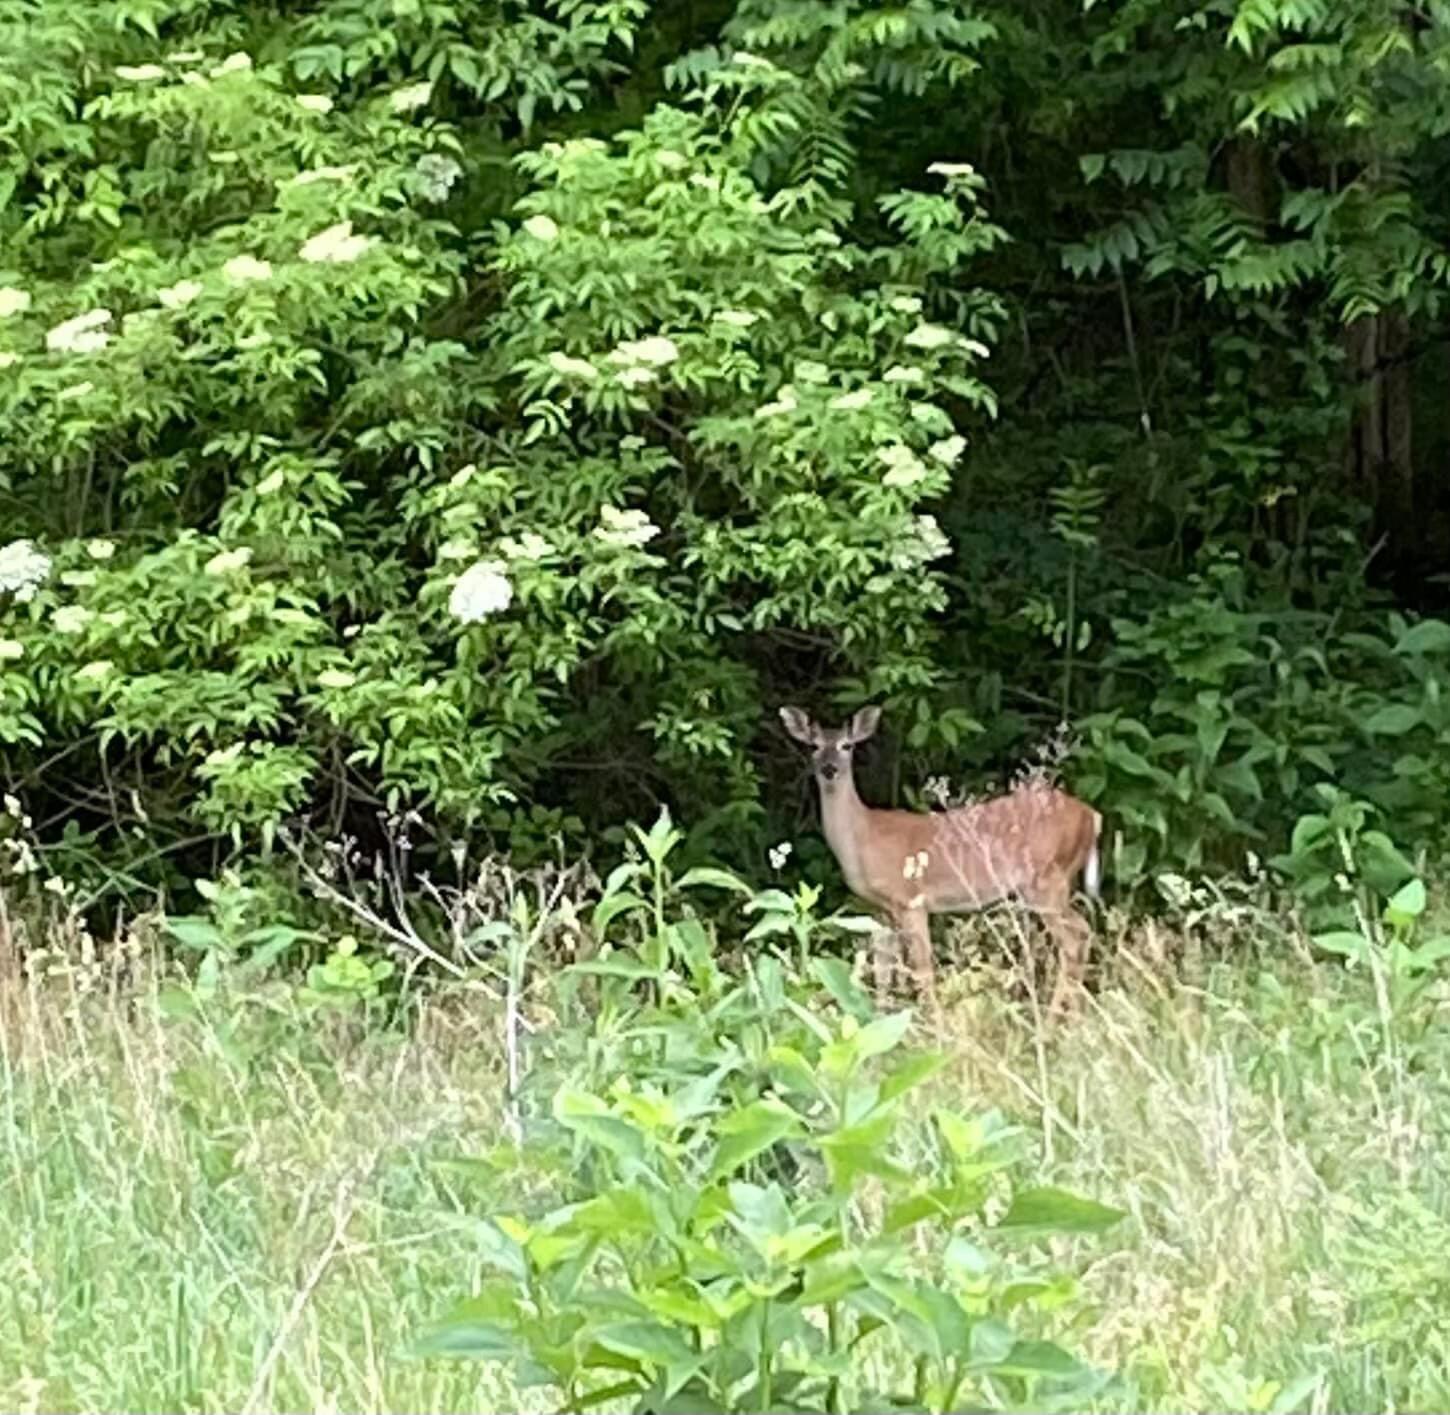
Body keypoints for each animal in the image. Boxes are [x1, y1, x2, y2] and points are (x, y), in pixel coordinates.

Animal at [780, 705, 1102, 1018]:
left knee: (1075, 939)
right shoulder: (881, 910)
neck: (863, 837)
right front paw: (880, 1021)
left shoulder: (911, 900)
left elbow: (923, 971)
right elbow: (883, 970)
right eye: (813, 746)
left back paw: (1052, 1022)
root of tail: (1093, 817)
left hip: (1046, 881)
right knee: (1082, 934)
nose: (829, 769)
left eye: (846, 745)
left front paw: (936, 1028)